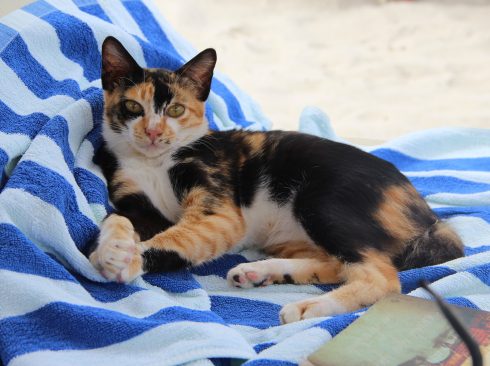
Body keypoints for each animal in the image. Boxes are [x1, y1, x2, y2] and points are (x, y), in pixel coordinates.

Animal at [91, 37, 464, 324]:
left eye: (176, 110)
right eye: (132, 107)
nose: (153, 133)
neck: (155, 163)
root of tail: (428, 214)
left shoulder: (218, 208)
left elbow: (178, 239)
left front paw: (127, 259)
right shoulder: (136, 202)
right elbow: (117, 217)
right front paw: (110, 251)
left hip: (321, 201)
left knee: (381, 276)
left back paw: (308, 306)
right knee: (338, 263)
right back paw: (259, 272)